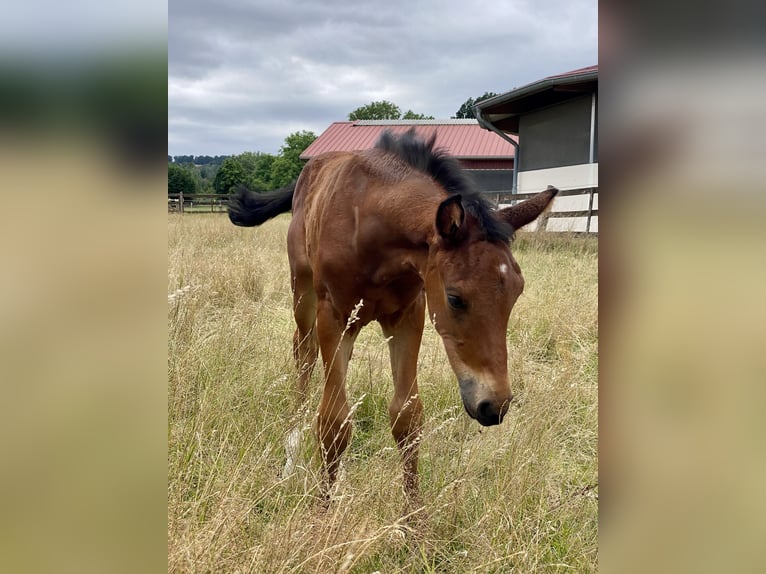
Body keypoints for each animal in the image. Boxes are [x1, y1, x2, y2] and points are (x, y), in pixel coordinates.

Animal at [228, 129, 560, 504]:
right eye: (455, 298)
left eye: (517, 292)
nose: (494, 405)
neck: (370, 226)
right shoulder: (334, 315)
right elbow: (333, 421)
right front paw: (321, 512)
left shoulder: (408, 317)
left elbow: (407, 416)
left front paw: (414, 517)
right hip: (303, 291)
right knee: (304, 353)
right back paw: (290, 454)